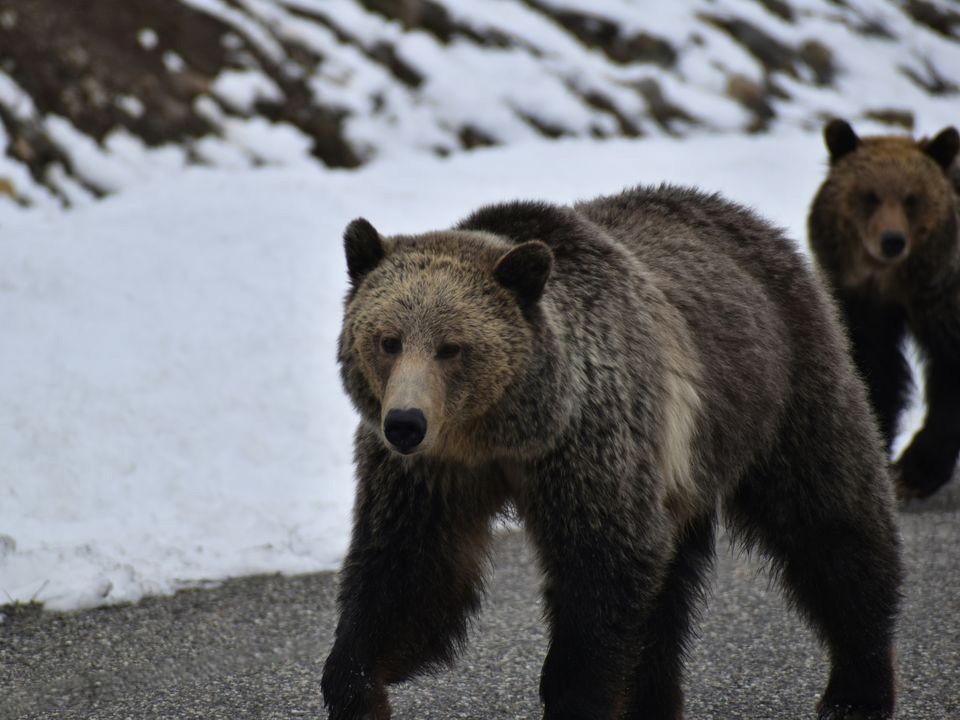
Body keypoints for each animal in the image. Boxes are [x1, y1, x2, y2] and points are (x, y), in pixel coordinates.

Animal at [322, 187, 900, 720]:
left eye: (451, 347)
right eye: (388, 339)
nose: (404, 423)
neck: (502, 430)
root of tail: (751, 219)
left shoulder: (589, 442)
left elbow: (602, 565)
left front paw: (574, 694)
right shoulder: (430, 473)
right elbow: (408, 568)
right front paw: (355, 687)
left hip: (783, 389)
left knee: (829, 519)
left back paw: (858, 689)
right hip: (682, 467)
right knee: (671, 591)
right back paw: (655, 701)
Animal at [808, 119, 960, 500]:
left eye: (912, 198)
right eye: (870, 195)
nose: (892, 240)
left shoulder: (944, 298)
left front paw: (917, 471)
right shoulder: (863, 306)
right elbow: (875, 369)